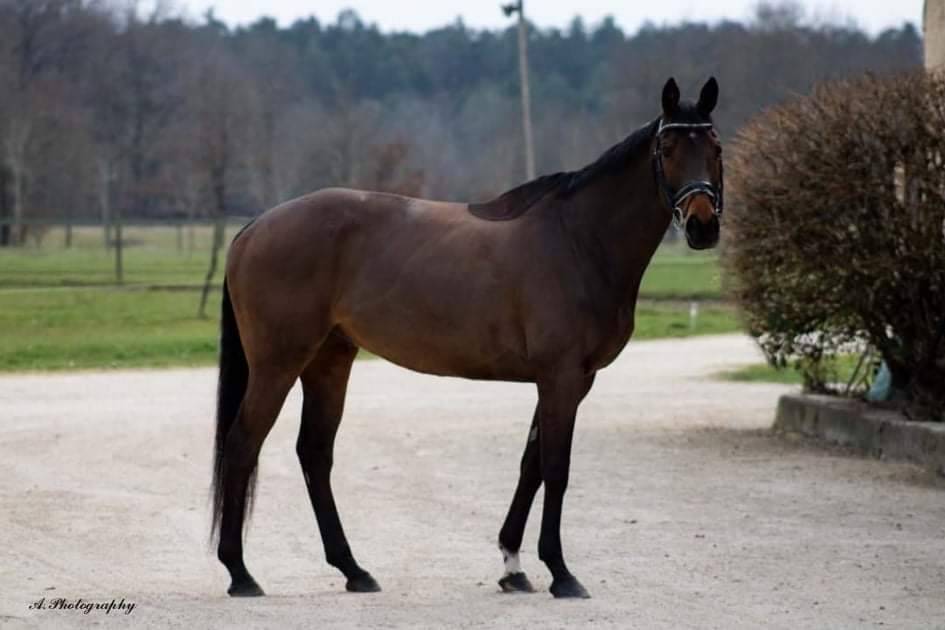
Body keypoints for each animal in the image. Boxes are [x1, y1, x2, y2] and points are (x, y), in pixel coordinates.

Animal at [210, 77, 724, 599]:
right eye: (667, 148)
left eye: (716, 147)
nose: (703, 224)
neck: (579, 240)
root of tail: (254, 227)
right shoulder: (560, 378)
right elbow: (555, 469)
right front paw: (561, 572)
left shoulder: (569, 381)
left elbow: (531, 466)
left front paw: (513, 567)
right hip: (278, 364)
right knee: (243, 444)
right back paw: (241, 573)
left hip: (329, 361)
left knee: (314, 454)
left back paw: (353, 569)